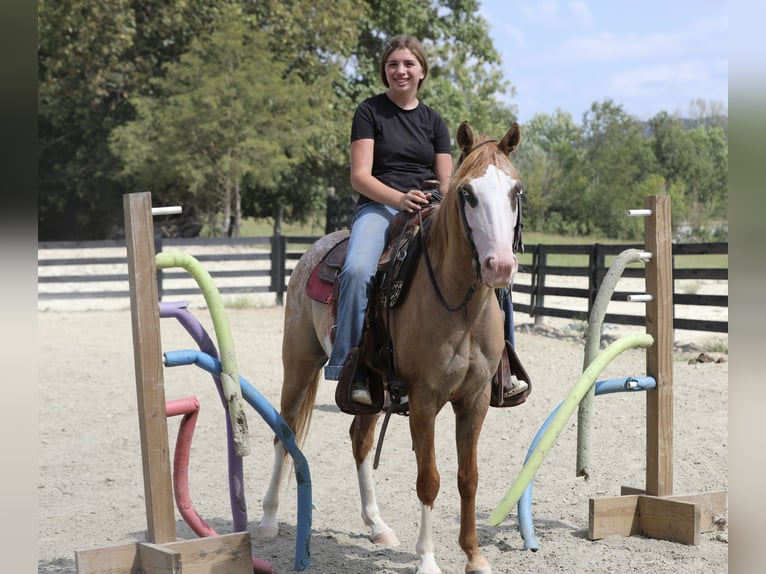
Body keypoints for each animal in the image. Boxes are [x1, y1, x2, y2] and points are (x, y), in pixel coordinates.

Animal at [256, 120, 524, 574]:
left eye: (515, 191)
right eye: (467, 193)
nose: (500, 266)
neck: (460, 305)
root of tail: (315, 249)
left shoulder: (475, 400)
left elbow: (468, 478)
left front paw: (474, 555)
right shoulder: (425, 400)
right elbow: (429, 480)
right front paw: (428, 559)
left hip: (369, 389)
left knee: (360, 441)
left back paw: (376, 525)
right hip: (300, 364)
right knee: (284, 433)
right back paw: (270, 520)